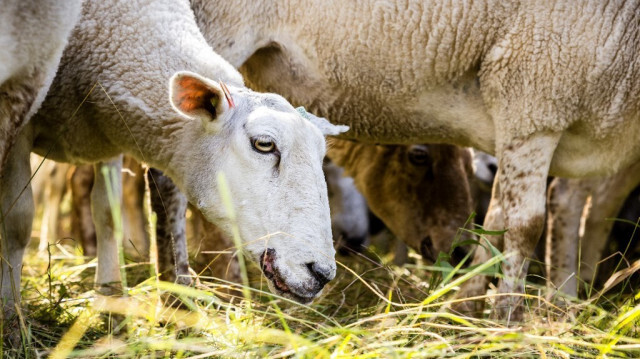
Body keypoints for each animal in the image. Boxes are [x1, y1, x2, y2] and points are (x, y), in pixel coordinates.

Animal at [0, 0, 350, 318]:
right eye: (263, 144)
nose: (322, 274)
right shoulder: (22, 117)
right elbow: (17, 222)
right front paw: (11, 314)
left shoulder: (108, 132)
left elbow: (107, 214)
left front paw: (110, 299)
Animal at [192, 0, 640, 320]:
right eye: (419, 156)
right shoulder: (534, 99)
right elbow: (524, 225)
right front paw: (505, 321)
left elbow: (497, 220)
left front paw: (466, 311)